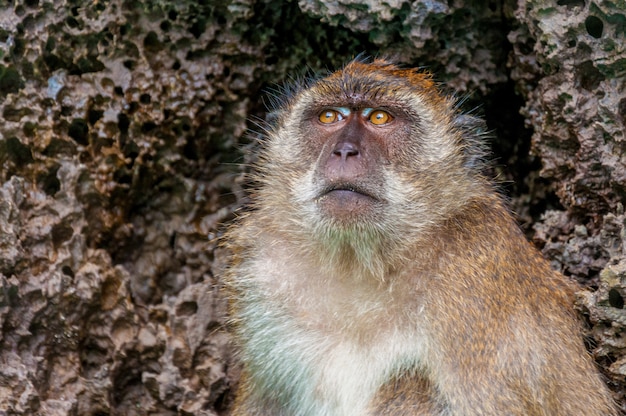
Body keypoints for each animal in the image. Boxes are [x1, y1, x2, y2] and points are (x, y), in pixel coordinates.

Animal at [222, 59, 616, 416]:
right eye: (330, 117)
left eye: (380, 118)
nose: (344, 150)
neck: (361, 264)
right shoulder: (264, 266)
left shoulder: (475, 266)